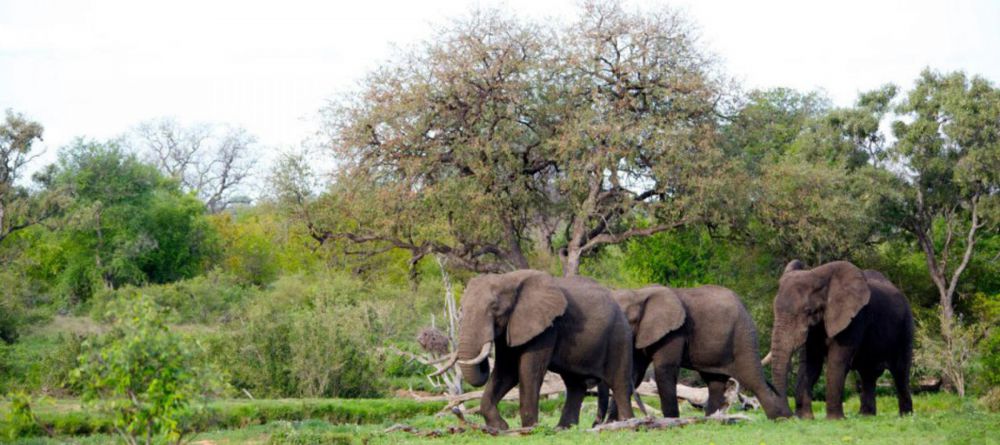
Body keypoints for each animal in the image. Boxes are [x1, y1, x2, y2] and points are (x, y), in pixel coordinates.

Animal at [436, 268, 636, 428]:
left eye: (494, 307)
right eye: (461, 308)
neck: (508, 279)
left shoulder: (546, 328)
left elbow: (528, 372)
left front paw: (529, 428)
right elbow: (506, 372)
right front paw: (501, 427)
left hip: (620, 336)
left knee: (619, 384)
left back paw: (628, 423)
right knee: (575, 385)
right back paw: (564, 428)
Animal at [596, 284, 792, 420]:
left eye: (625, 319)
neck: (638, 293)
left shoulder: (675, 332)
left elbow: (664, 369)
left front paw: (671, 422)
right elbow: (635, 372)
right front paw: (614, 423)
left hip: (742, 337)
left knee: (752, 378)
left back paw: (781, 419)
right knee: (714, 381)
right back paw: (712, 419)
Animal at [764, 258, 916, 418]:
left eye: (808, 311)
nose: (789, 416)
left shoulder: (854, 318)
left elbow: (836, 361)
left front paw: (834, 419)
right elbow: (810, 364)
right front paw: (805, 418)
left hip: (906, 327)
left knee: (900, 372)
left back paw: (905, 416)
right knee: (868, 373)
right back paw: (866, 416)